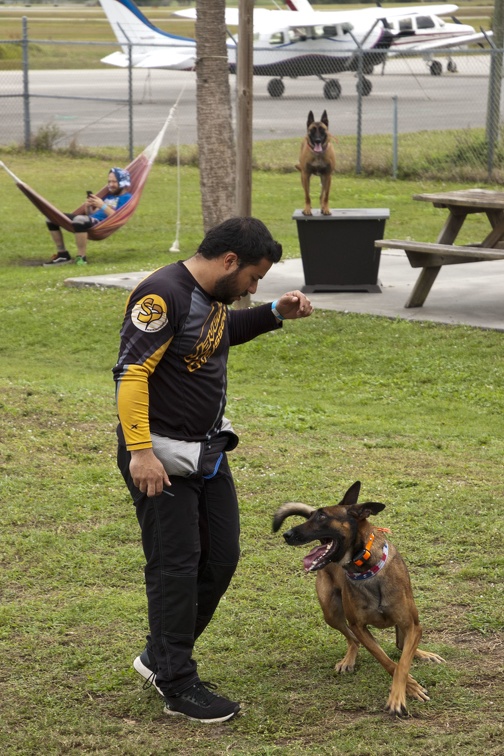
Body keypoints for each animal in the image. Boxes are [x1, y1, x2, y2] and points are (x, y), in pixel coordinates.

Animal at [272, 482, 444, 716]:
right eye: (312, 516)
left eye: (322, 516)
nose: (287, 534)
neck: (366, 569)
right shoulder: (360, 627)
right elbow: (387, 661)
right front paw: (409, 687)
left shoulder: (412, 625)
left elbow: (402, 662)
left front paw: (400, 695)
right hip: (331, 612)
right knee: (353, 639)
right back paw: (349, 659)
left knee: (401, 645)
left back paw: (423, 654)